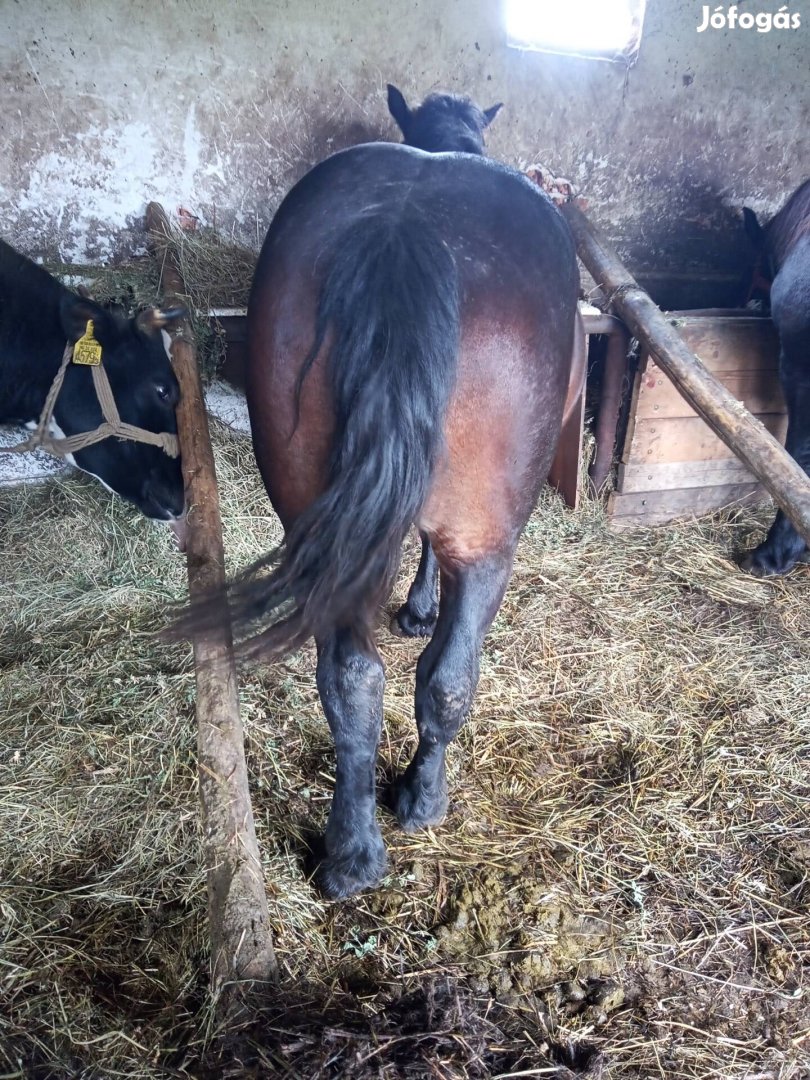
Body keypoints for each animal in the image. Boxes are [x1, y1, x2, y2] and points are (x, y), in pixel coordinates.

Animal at [210, 86, 583, 894]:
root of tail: (405, 232)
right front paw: (420, 608)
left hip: (326, 541)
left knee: (351, 682)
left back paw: (352, 854)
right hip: (487, 543)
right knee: (447, 681)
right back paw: (422, 798)